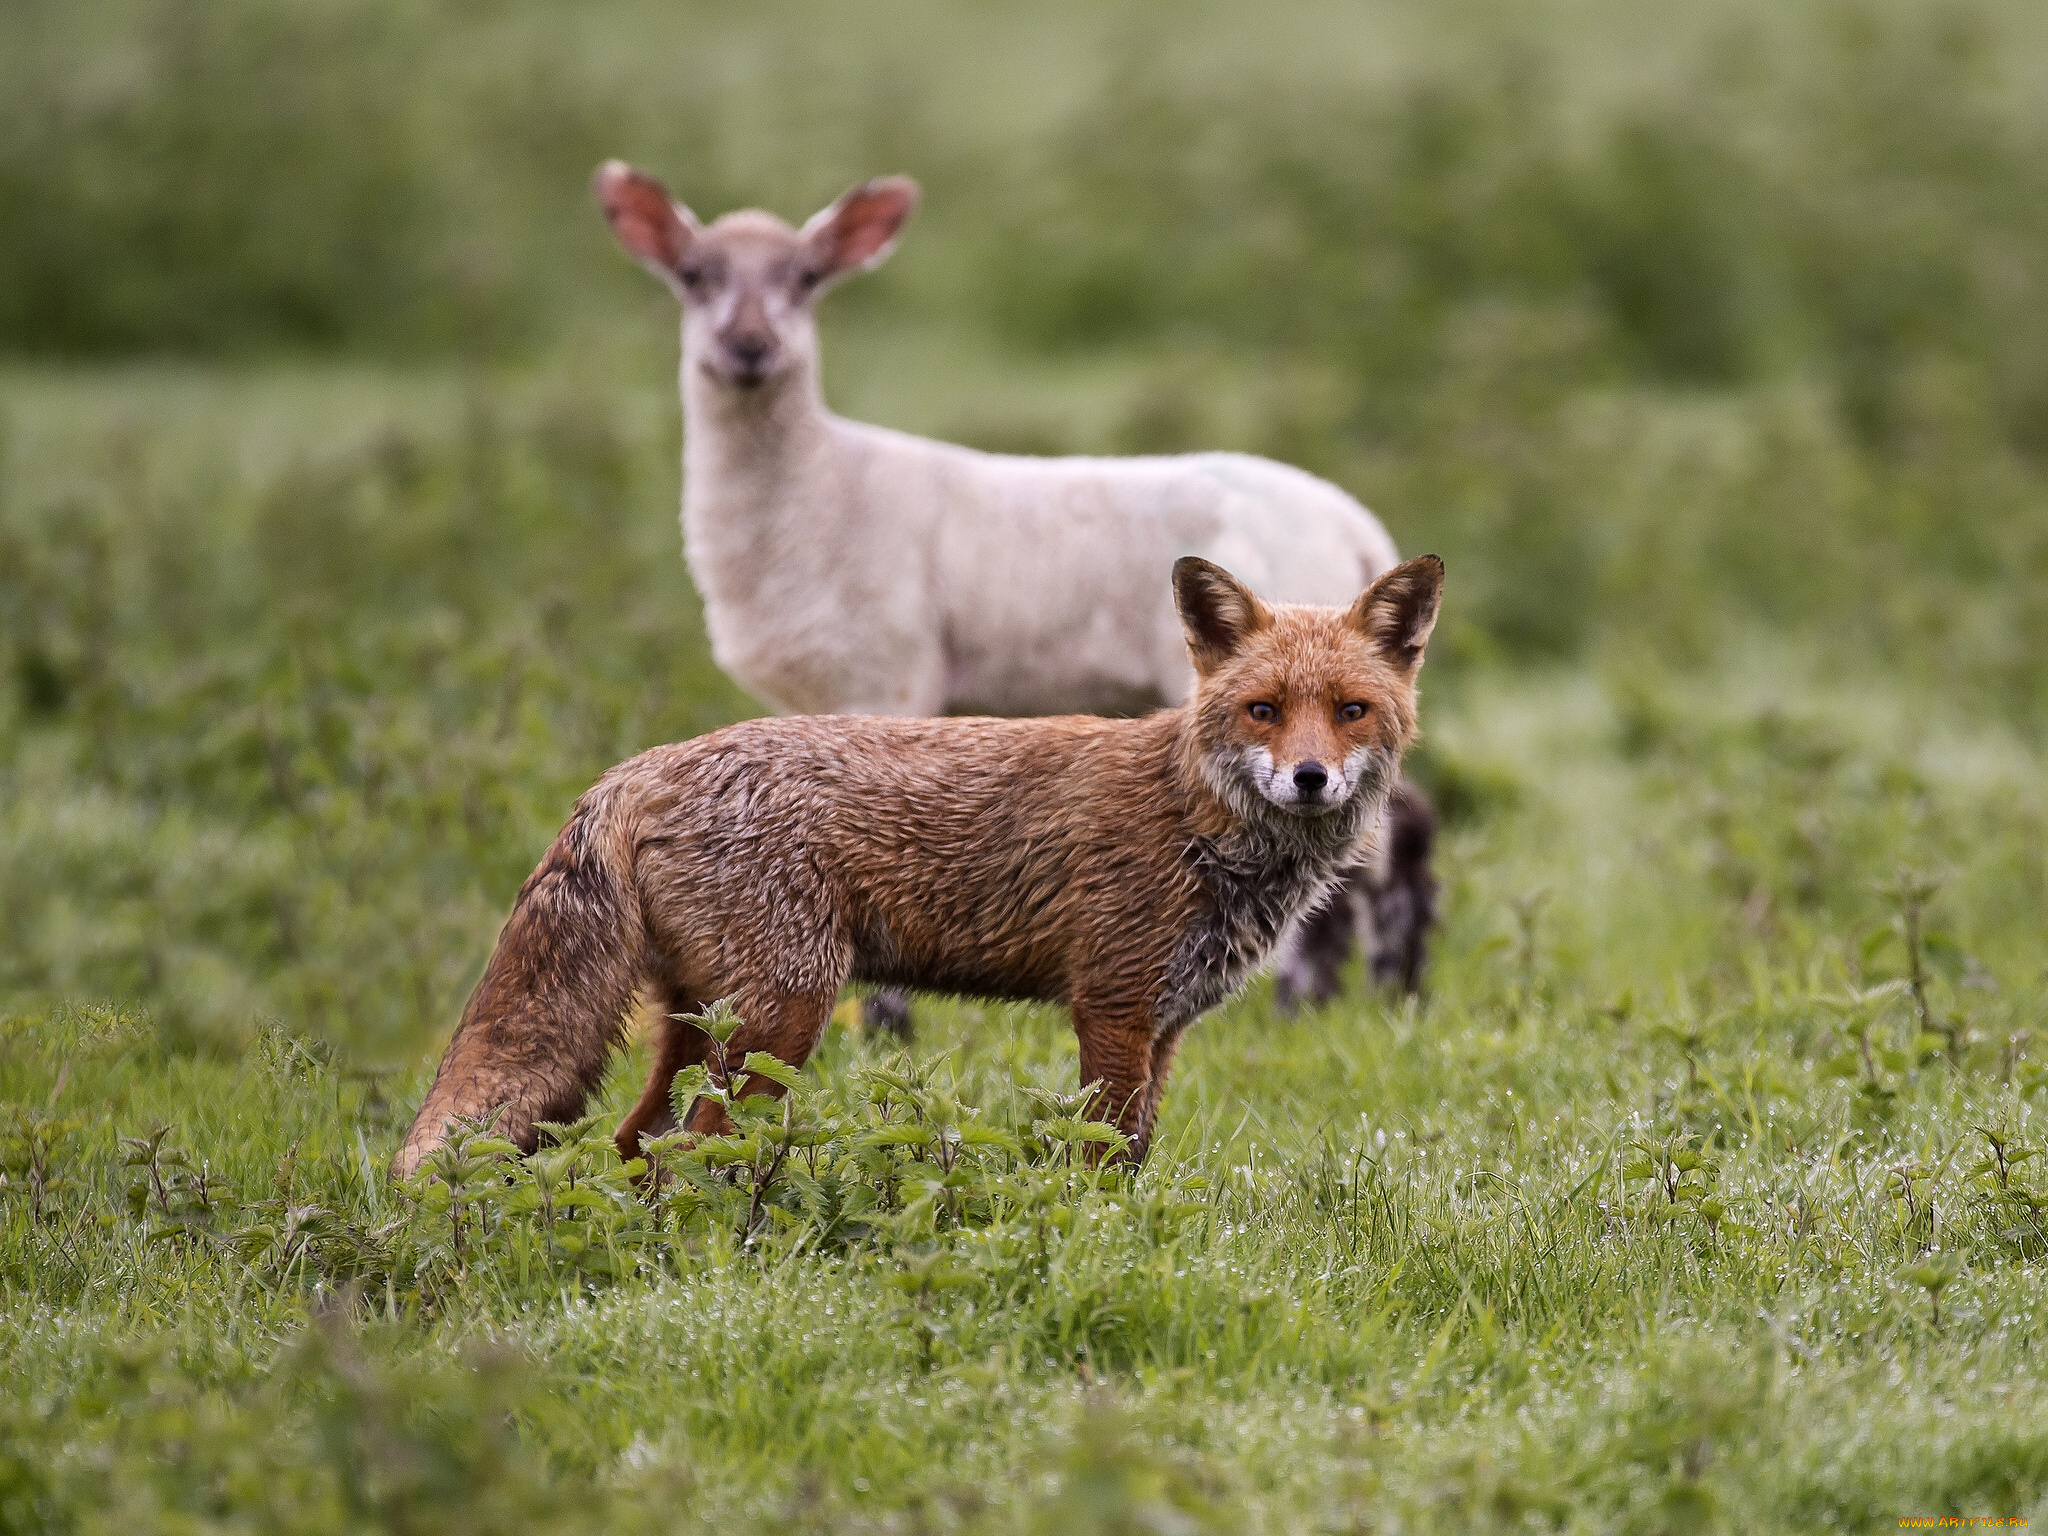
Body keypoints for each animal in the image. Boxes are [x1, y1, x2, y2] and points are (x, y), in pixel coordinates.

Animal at [395, 557, 1441, 1179]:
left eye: (1349, 711)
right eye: (1264, 710)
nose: (1309, 779)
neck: (1198, 820)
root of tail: (635, 767)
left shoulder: (1167, 1025)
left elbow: (1138, 1154)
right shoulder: (1112, 1008)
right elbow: (1102, 1159)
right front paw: (1099, 1246)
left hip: (706, 1025)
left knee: (634, 1143)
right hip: (784, 1018)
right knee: (689, 1149)